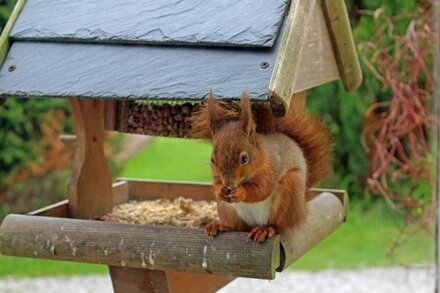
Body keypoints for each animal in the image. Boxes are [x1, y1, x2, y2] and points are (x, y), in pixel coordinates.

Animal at [191, 92, 332, 242]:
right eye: (212, 159)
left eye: (244, 158)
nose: (228, 184)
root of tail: (301, 211)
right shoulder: (218, 177)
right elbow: (217, 184)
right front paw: (220, 191)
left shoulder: (271, 168)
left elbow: (262, 189)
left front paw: (241, 192)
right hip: (228, 210)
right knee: (238, 227)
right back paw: (219, 225)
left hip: (289, 195)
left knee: (279, 226)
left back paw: (265, 229)